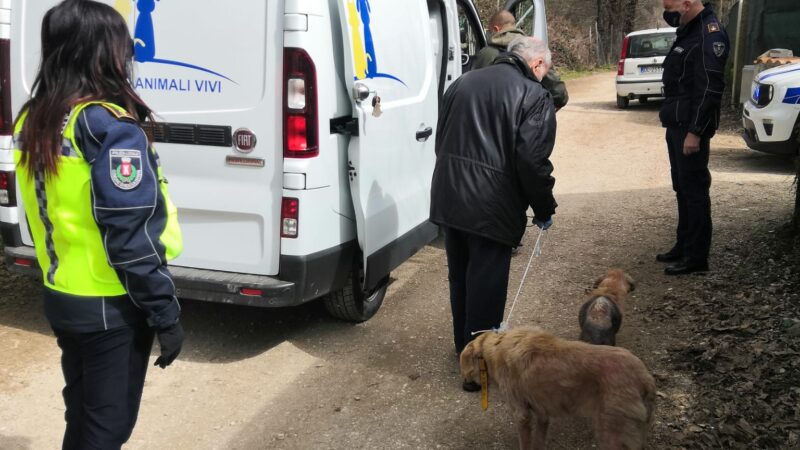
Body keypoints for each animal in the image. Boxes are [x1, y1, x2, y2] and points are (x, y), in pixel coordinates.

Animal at [460, 326, 652, 450]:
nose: (468, 383)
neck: (495, 346)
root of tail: (645, 377)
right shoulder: (542, 413)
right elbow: (539, 441)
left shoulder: (522, 415)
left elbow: (525, 442)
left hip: (612, 433)